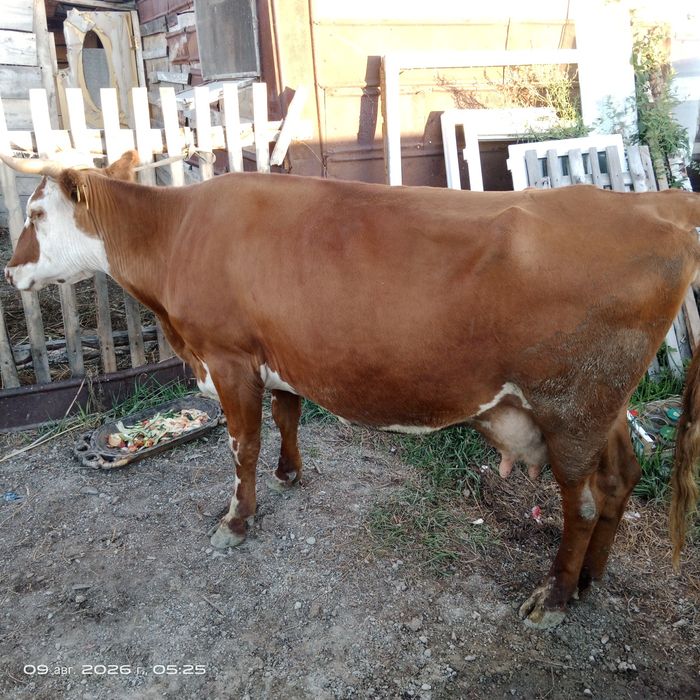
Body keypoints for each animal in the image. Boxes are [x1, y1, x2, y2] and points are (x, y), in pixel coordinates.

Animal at [2, 150, 699, 629]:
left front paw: (236, 520)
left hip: (571, 406)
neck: (176, 234)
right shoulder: (275, 353)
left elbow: (242, 446)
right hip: (605, 405)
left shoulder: (227, 357)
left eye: (34, 213)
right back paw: (588, 580)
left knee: (580, 505)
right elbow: (285, 415)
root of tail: (657, 204)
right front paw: (289, 476)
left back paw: (551, 600)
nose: (10, 271)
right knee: (621, 479)